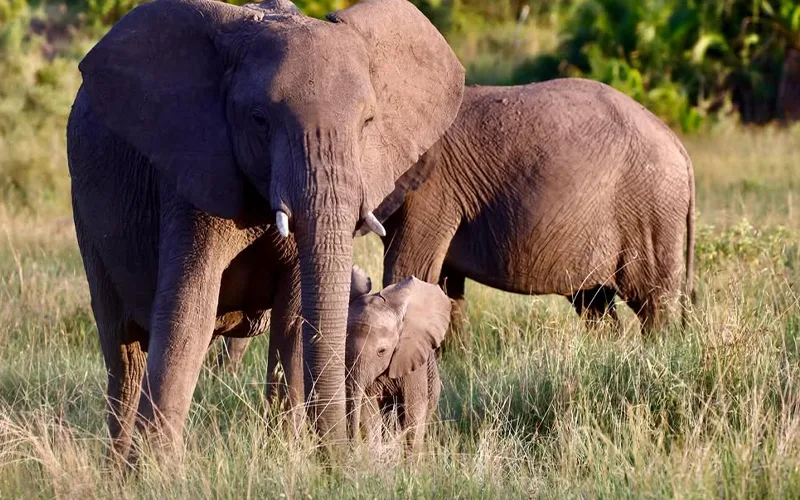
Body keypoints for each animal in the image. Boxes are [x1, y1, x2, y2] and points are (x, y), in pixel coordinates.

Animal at [369, 79, 696, 342]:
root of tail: (679, 145)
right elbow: (445, 287)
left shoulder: (431, 190)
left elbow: (409, 270)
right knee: (595, 304)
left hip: (650, 211)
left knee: (651, 301)